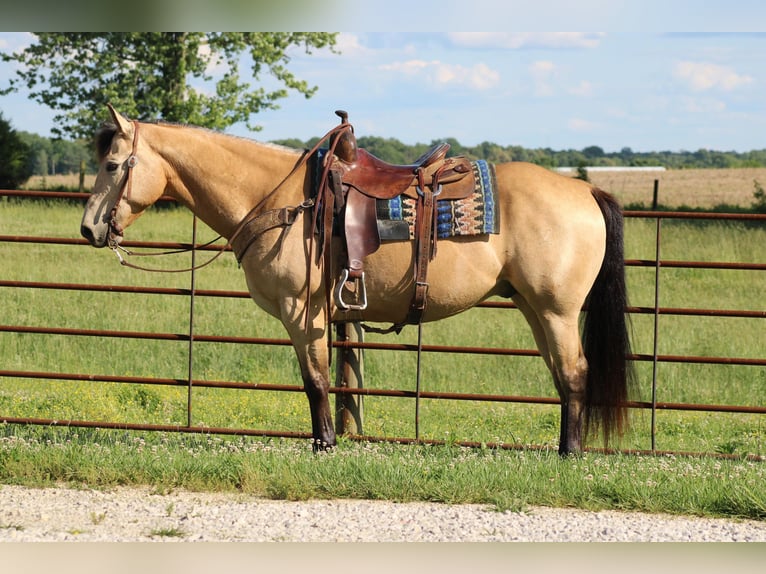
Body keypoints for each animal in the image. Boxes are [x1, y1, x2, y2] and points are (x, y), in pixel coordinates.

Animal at [79, 103, 636, 454]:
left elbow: (316, 379)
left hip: (556, 310)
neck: (281, 200)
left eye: (113, 165)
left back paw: (570, 453)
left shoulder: (302, 312)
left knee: (575, 374)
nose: (88, 228)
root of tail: (585, 191)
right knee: (563, 377)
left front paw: (323, 443)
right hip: (533, 307)